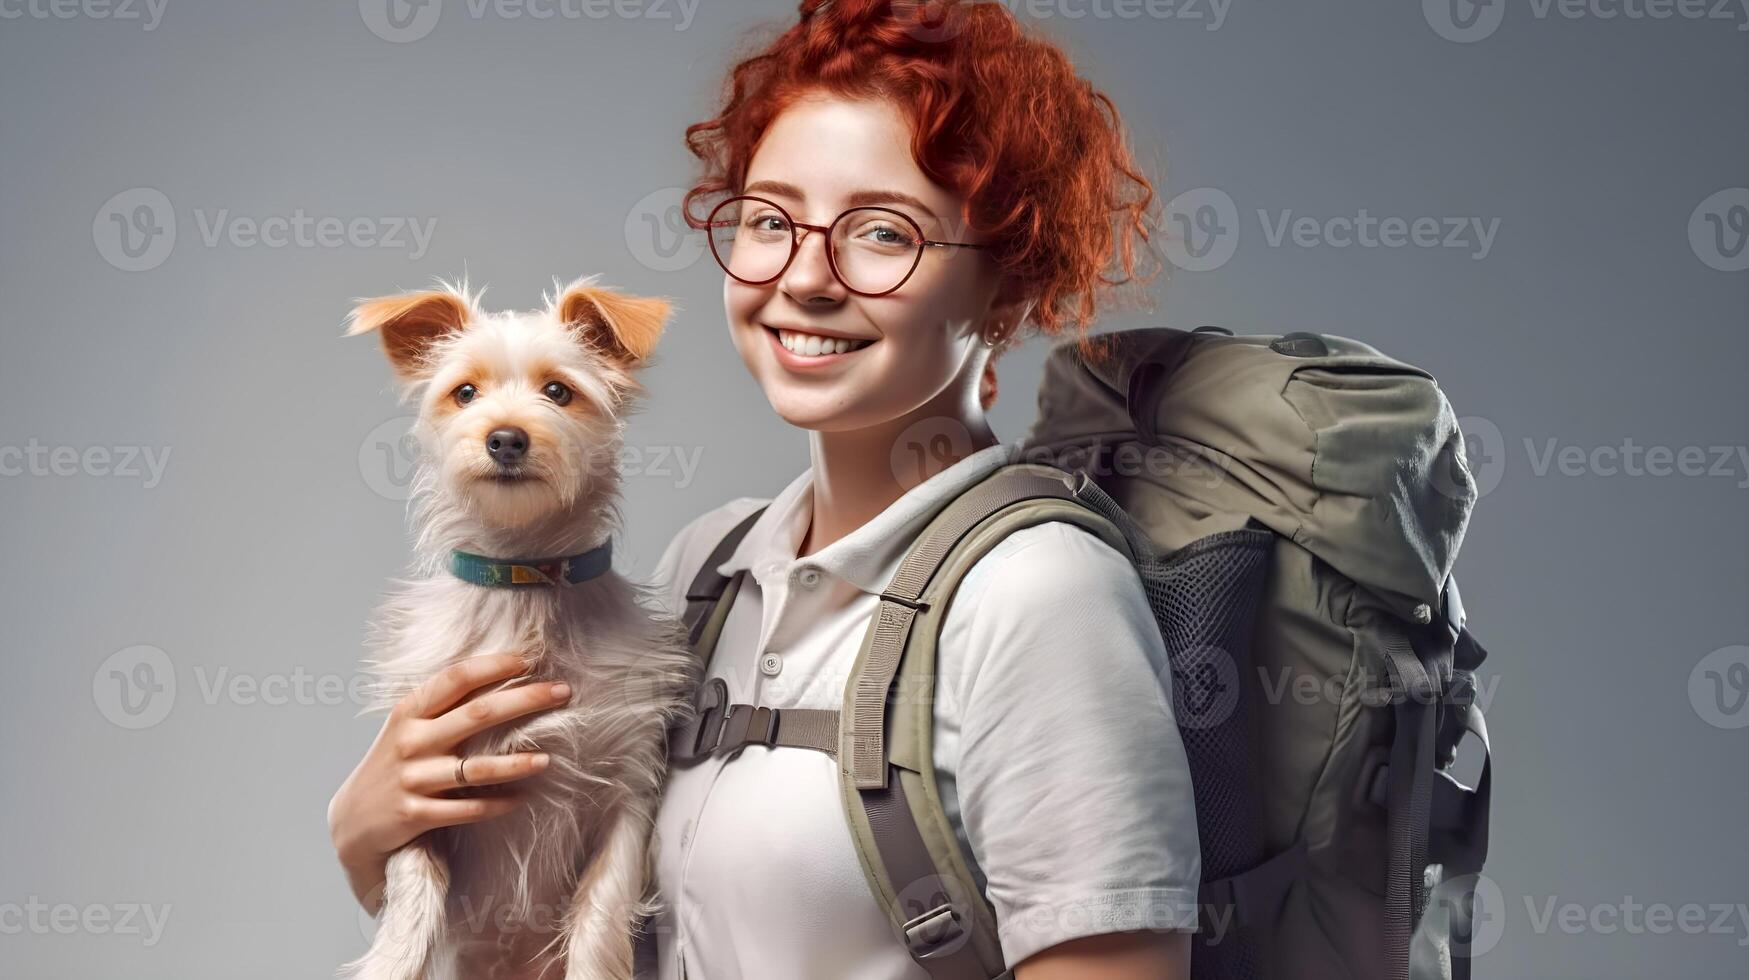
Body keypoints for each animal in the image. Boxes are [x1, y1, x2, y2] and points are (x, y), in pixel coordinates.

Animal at [341, 276, 696, 980]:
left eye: (558, 391)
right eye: (464, 393)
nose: (505, 438)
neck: (525, 579)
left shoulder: (626, 792)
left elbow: (600, 919)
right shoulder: (416, 782)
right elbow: (414, 891)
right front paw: (394, 960)